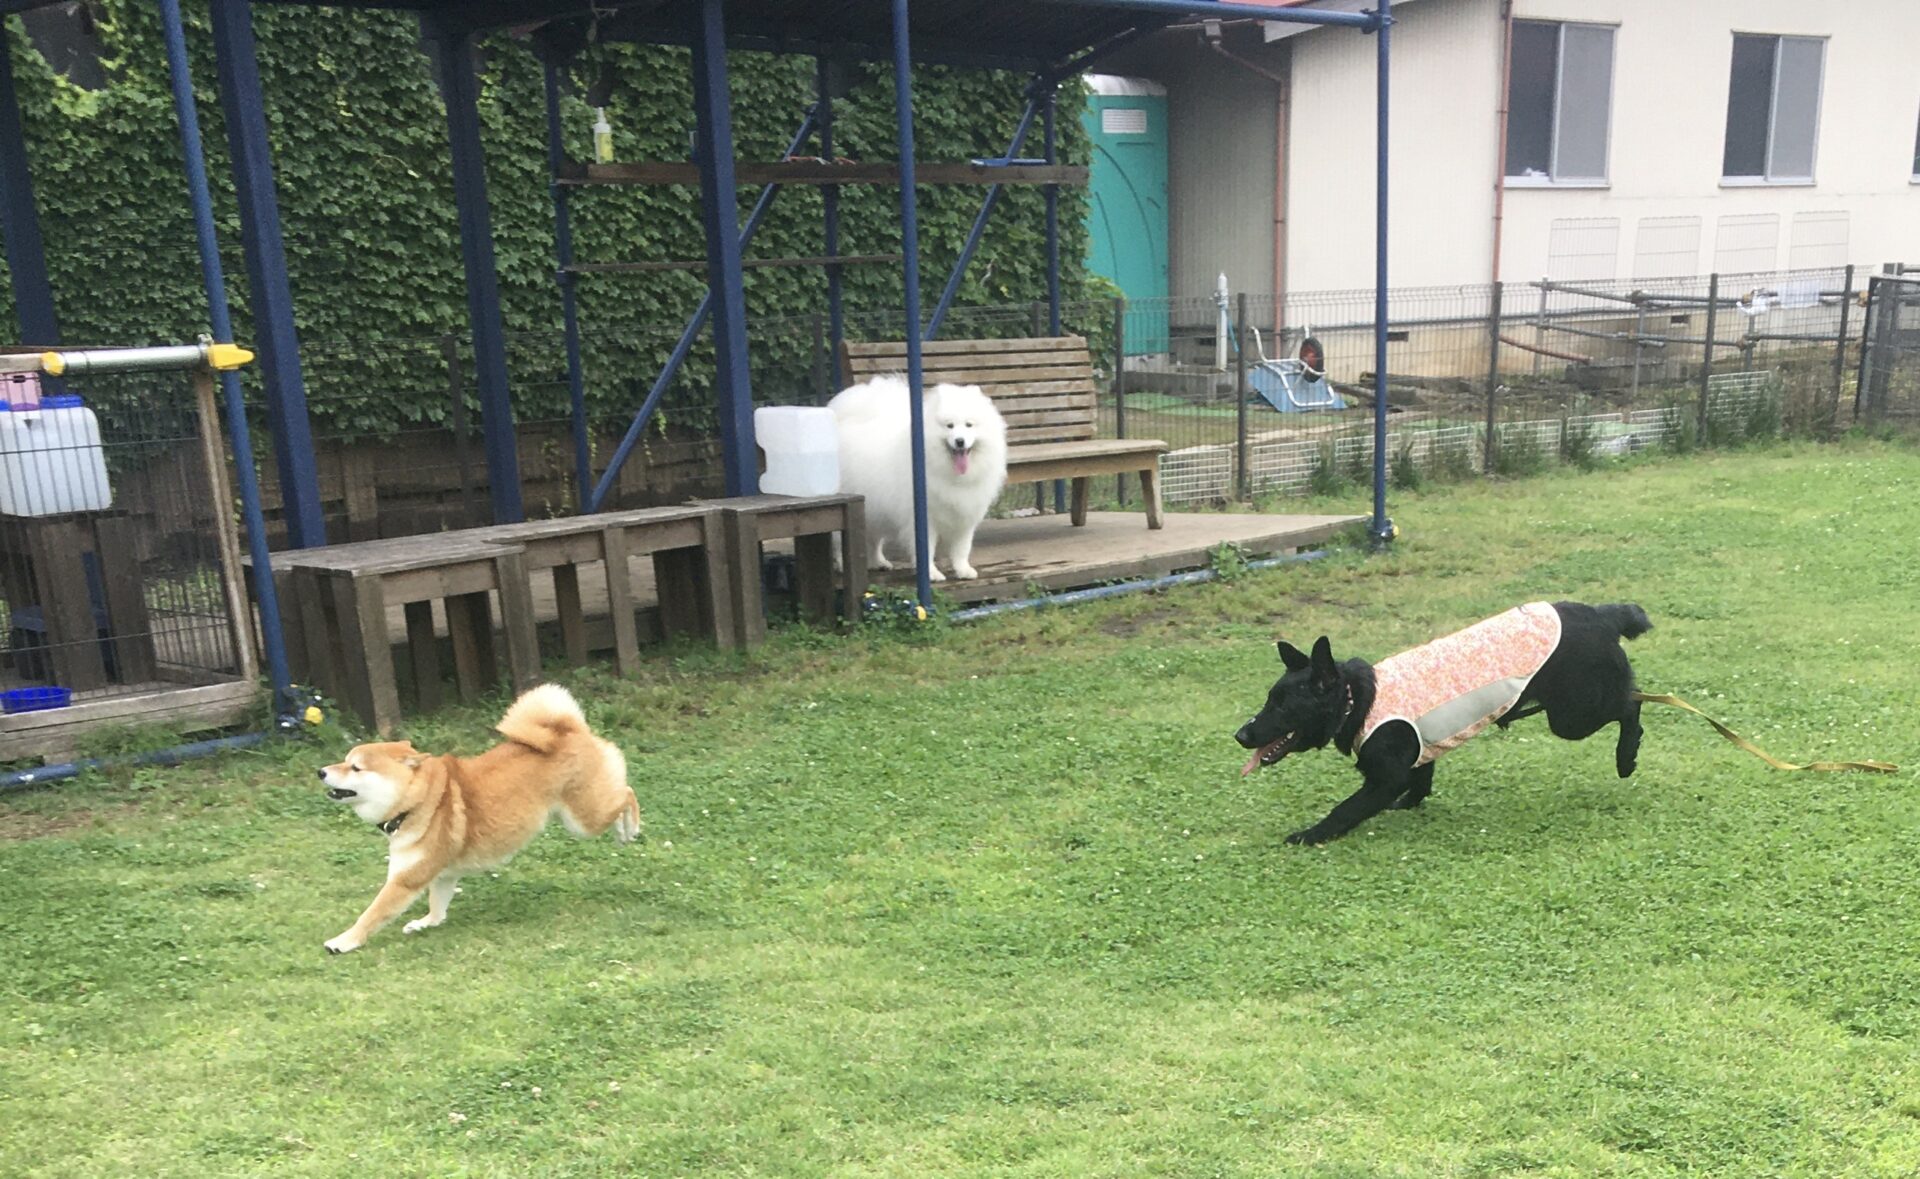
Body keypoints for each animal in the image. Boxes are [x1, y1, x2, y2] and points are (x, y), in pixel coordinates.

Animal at [317, 684, 638, 953]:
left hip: (584, 819)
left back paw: (629, 829)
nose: (320, 771)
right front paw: (425, 923)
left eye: (355, 767)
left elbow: (371, 914)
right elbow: (438, 907)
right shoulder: (442, 873)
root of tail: (568, 731)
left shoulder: (406, 879)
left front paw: (343, 941)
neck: (420, 801)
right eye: (345, 761)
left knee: (627, 794)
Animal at [829, 375, 1008, 581]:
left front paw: (963, 570)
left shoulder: (964, 515)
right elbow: (926, 549)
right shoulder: (923, 518)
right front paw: (931, 574)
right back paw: (843, 564)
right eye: (949, 426)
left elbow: (962, 548)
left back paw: (878, 562)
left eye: (969, 425)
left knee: (874, 539)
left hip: (873, 508)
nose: (960, 441)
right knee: (840, 541)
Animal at [1234, 601, 1651, 845]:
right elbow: (1421, 783)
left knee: (1631, 704)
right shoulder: (1420, 751)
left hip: (1571, 716)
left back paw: (1626, 757)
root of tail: (1603, 614)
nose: (1240, 734)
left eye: (1283, 707)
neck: (1356, 701)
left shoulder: (1385, 777)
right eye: (1270, 700)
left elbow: (1345, 810)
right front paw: (1408, 805)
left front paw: (1310, 835)